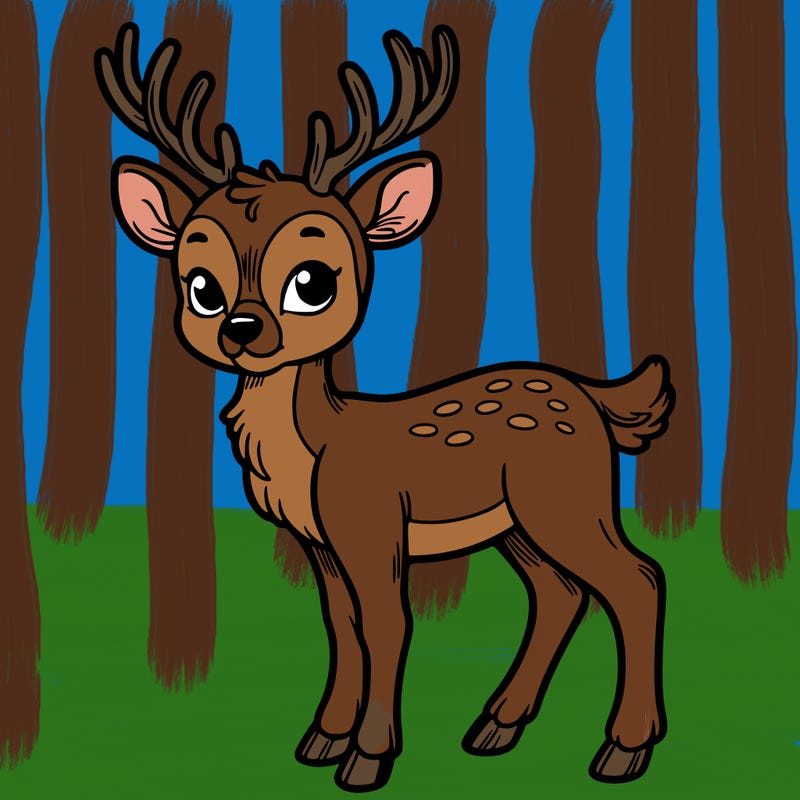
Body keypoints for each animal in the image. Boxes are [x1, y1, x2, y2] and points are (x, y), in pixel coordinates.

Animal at [96, 21, 674, 793]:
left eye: (313, 281)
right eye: (200, 285)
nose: (241, 330)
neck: (314, 451)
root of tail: (596, 397)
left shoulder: (370, 524)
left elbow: (387, 625)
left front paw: (368, 758)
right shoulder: (318, 540)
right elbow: (340, 625)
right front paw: (321, 739)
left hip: (567, 497)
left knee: (637, 580)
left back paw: (622, 749)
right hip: (516, 522)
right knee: (560, 593)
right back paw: (496, 727)